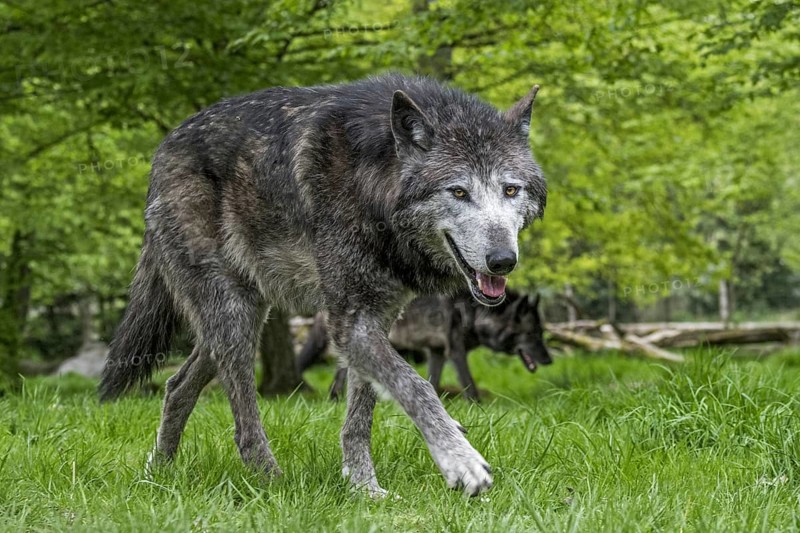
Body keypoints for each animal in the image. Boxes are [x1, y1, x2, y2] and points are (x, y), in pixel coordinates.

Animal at [298, 290, 552, 401]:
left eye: (541, 333)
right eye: (532, 334)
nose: (549, 360)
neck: (473, 312)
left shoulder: (437, 352)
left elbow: (434, 381)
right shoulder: (455, 351)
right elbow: (469, 384)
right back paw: (335, 400)